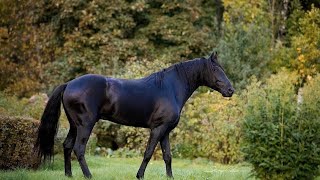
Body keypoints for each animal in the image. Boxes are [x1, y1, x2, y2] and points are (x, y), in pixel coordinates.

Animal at [35, 52, 235, 179]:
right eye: (216, 70)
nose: (230, 90)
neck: (170, 88)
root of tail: (69, 84)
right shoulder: (158, 128)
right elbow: (148, 153)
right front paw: (139, 176)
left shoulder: (166, 131)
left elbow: (167, 156)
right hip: (85, 124)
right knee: (79, 148)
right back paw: (88, 176)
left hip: (74, 125)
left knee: (67, 146)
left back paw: (69, 175)